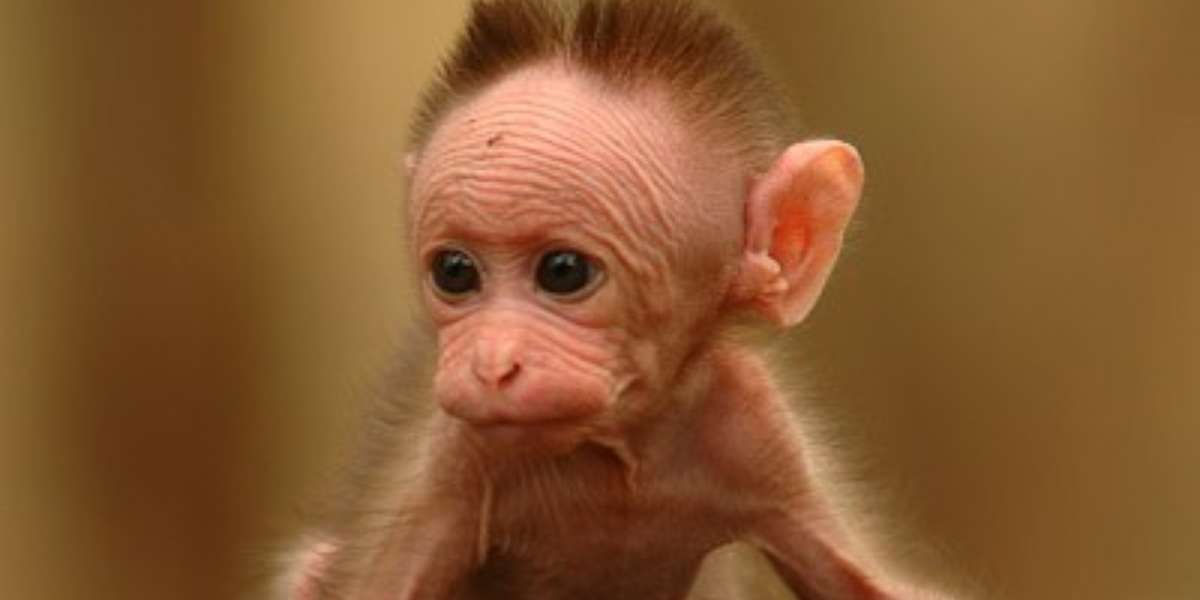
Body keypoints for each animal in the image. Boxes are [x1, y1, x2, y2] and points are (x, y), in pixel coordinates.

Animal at [276, 1, 944, 598]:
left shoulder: (753, 422)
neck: (620, 443)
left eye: (564, 271)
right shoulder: (453, 458)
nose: (491, 365)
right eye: (455, 271)